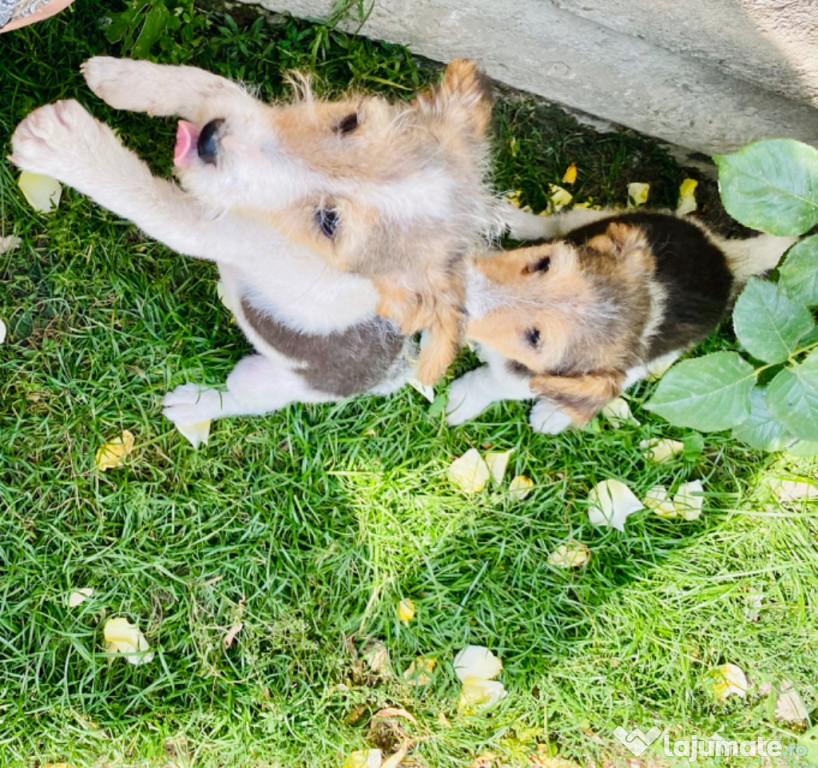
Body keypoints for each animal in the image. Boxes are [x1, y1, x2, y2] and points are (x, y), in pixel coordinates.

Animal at [11, 57, 490, 428]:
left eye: (329, 223)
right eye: (349, 122)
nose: (209, 138)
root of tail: (389, 376)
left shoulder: (211, 229)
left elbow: (136, 191)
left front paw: (62, 143)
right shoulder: (253, 114)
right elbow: (210, 83)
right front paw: (118, 76)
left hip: (267, 383)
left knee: (239, 400)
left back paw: (192, 406)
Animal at [444, 210, 792, 436]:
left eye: (534, 337)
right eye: (543, 264)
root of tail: (725, 259)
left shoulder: (523, 379)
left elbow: (491, 383)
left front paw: (461, 401)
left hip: (651, 362)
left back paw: (552, 415)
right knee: (560, 219)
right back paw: (516, 218)